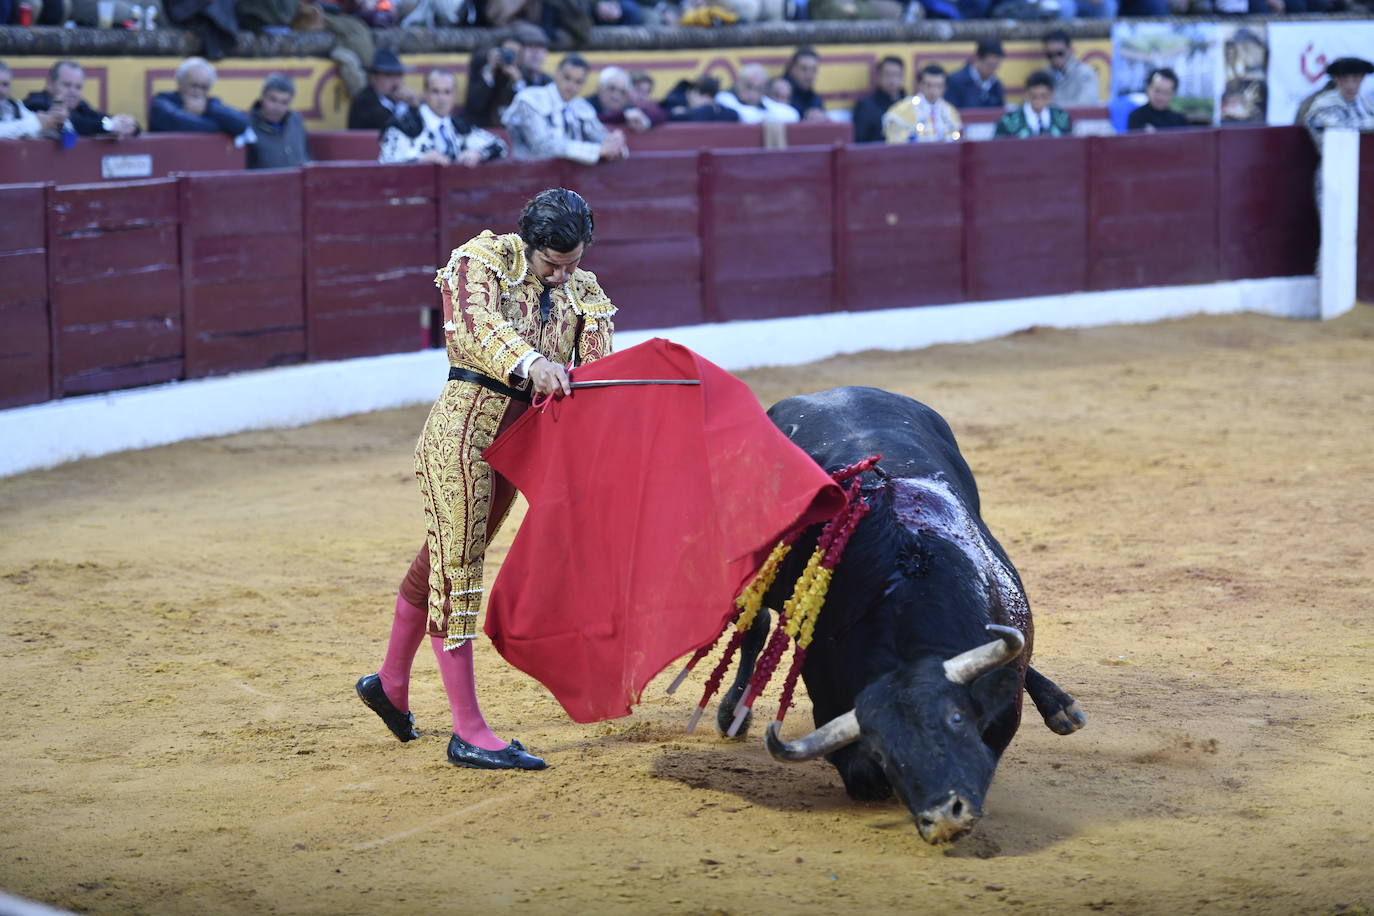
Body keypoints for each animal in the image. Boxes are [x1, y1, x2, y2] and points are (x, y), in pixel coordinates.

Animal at [719, 387, 1082, 845]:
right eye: (883, 750)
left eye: (956, 719)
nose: (945, 817)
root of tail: (830, 392)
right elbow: (862, 775)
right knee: (754, 622)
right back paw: (732, 713)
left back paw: (1061, 707)